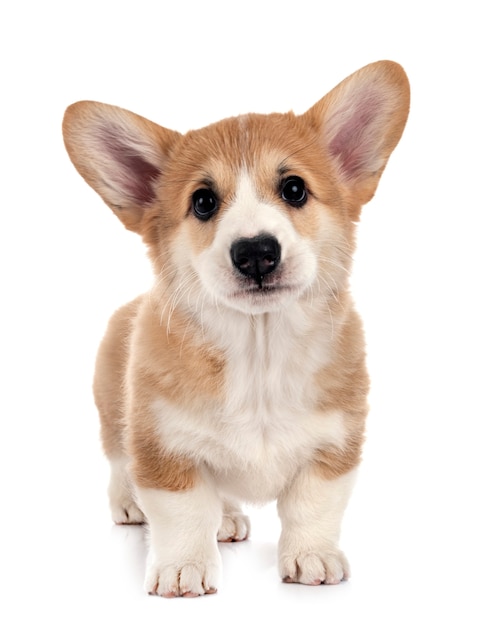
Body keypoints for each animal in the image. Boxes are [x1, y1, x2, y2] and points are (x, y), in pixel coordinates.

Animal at [62, 61, 410, 596]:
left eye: (294, 189)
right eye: (203, 202)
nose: (256, 252)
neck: (259, 348)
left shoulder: (334, 444)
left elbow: (313, 504)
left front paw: (311, 556)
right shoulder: (162, 446)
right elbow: (182, 510)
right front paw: (182, 566)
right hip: (112, 411)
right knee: (120, 461)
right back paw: (129, 502)